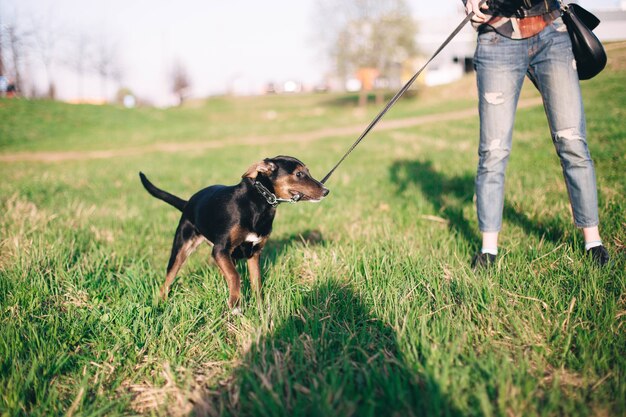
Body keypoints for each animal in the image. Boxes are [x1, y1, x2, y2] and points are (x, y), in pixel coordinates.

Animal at [140, 154, 330, 310]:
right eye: (299, 174)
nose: (326, 191)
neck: (258, 202)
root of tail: (187, 203)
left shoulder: (254, 253)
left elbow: (256, 282)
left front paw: (260, 308)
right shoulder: (220, 249)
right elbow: (235, 276)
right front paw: (235, 304)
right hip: (181, 247)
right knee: (168, 279)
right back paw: (160, 303)